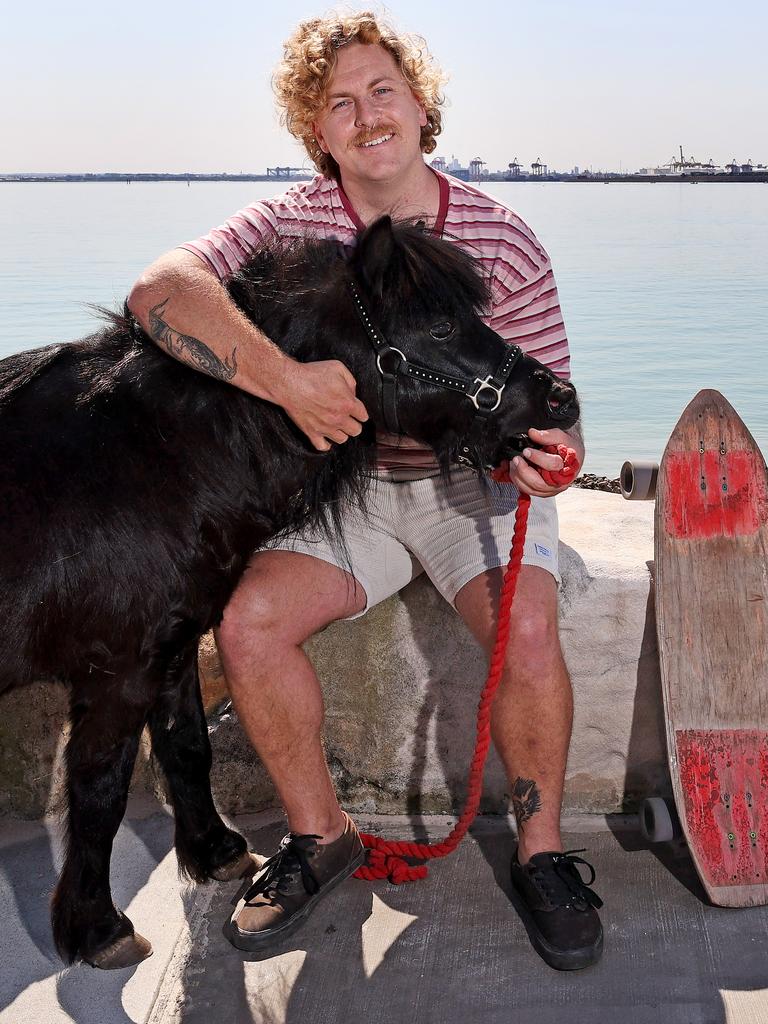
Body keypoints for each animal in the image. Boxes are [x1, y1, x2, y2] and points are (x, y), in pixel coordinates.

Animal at [0, 216, 577, 966]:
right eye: (443, 326)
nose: (562, 398)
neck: (145, 460)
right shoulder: (119, 670)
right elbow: (100, 790)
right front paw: (99, 928)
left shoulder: (173, 645)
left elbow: (186, 745)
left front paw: (217, 853)